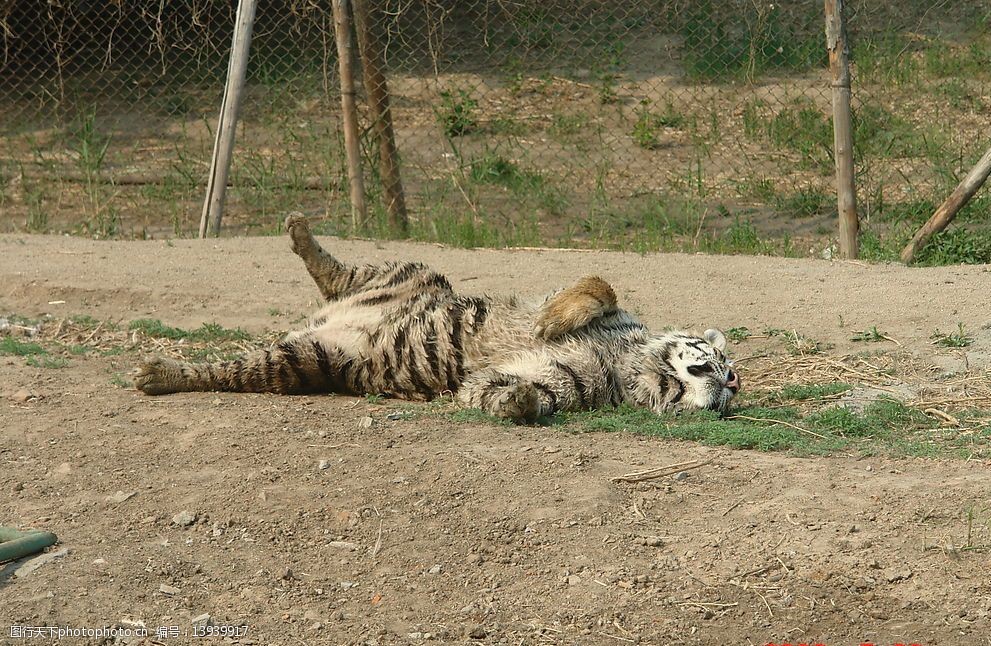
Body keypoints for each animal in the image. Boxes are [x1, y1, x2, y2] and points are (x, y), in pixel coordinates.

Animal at [130, 214, 736, 426]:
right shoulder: (609, 313)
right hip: (413, 272)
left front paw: (518, 400)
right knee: (335, 270)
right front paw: (554, 320)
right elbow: (595, 287)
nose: (727, 390)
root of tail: (318, 323)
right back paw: (300, 230)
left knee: (230, 369)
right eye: (721, 366)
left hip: (306, 359)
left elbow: (517, 391)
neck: (631, 363)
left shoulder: (568, 383)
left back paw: (157, 373)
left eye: (731, 392)